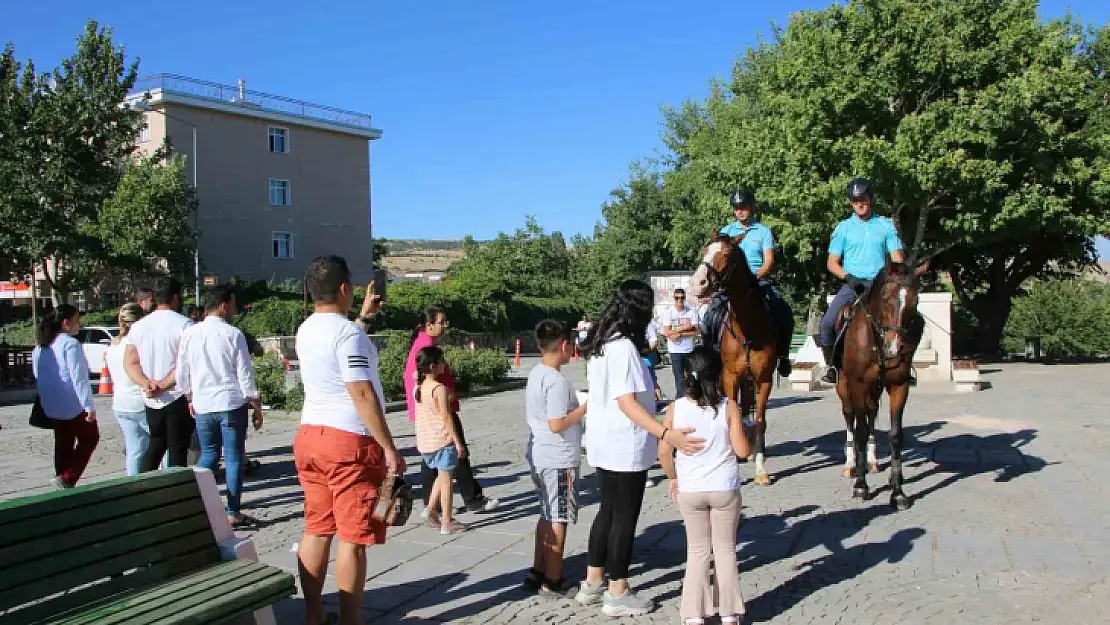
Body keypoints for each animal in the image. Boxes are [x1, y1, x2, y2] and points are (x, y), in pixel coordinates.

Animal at [688, 233, 777, 484]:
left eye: (727, 254)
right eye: (704, 250)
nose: (697, 283)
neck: (747, 330)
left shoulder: (764, 380)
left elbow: (760, 421)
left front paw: (761, 470)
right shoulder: (730, 377)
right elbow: (733, 411)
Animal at [834, 261, 923, 510]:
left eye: (915, 300)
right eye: (885, 296)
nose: (894, 346)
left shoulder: (899, 386)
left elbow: (895, 435)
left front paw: (897, 491)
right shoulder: (858, 385)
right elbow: (861, 432)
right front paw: (861, 486)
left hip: (875, 390)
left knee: (872, 413)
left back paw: (874, 463)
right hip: (844, 387)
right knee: (850, 418)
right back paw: (851, 465)